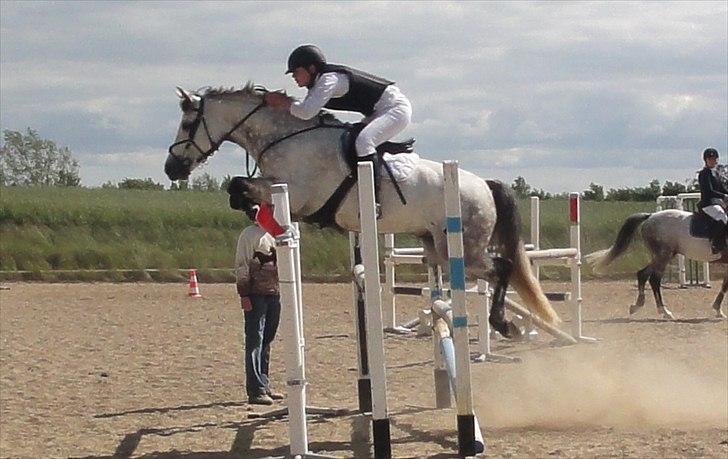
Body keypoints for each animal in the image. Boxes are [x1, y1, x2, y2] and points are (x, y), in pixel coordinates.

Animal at [166, 82, 564, 336]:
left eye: (187, 123)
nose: (172, 169)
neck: (288, 138)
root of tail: (485, 184)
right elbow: (240, 189)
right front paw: (261, 218)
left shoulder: (299, 194)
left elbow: (239, 186)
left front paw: (257, 212)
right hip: (439, 247)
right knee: (489, 273)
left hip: (466, 247)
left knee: (503, 268)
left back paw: (504, 324)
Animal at [588, 209, 724, 320]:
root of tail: (651, 216)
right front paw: (718, 310)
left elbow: (724, 286)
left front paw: (718, 311)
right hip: (663, 256)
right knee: (654, 279)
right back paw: (665, 312)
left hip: (660, 257)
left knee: (643, 274)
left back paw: (637, 305)